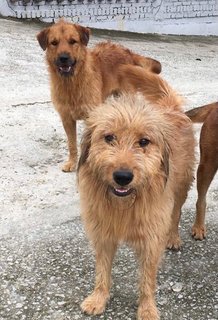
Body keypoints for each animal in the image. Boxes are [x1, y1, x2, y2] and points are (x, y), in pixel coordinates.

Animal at [36, 19, 161, 172]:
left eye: (73, 41)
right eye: (54, 42)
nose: (63, 58)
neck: (72, 83)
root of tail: (127, 52)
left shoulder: (90, 117)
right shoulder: (67, 119)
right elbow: (72, 144)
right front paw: (72, 162)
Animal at [78, 89, 194, 318]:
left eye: (144, 141)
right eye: (109, 137)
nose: (122, 177)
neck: (124, 204)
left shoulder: (151, 239)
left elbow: (147, 280)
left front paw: (147, 308)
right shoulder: (103, 234)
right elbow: (102, 270)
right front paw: (98, 298)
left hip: (182, 188)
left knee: (176, 213)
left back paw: (173, 237)